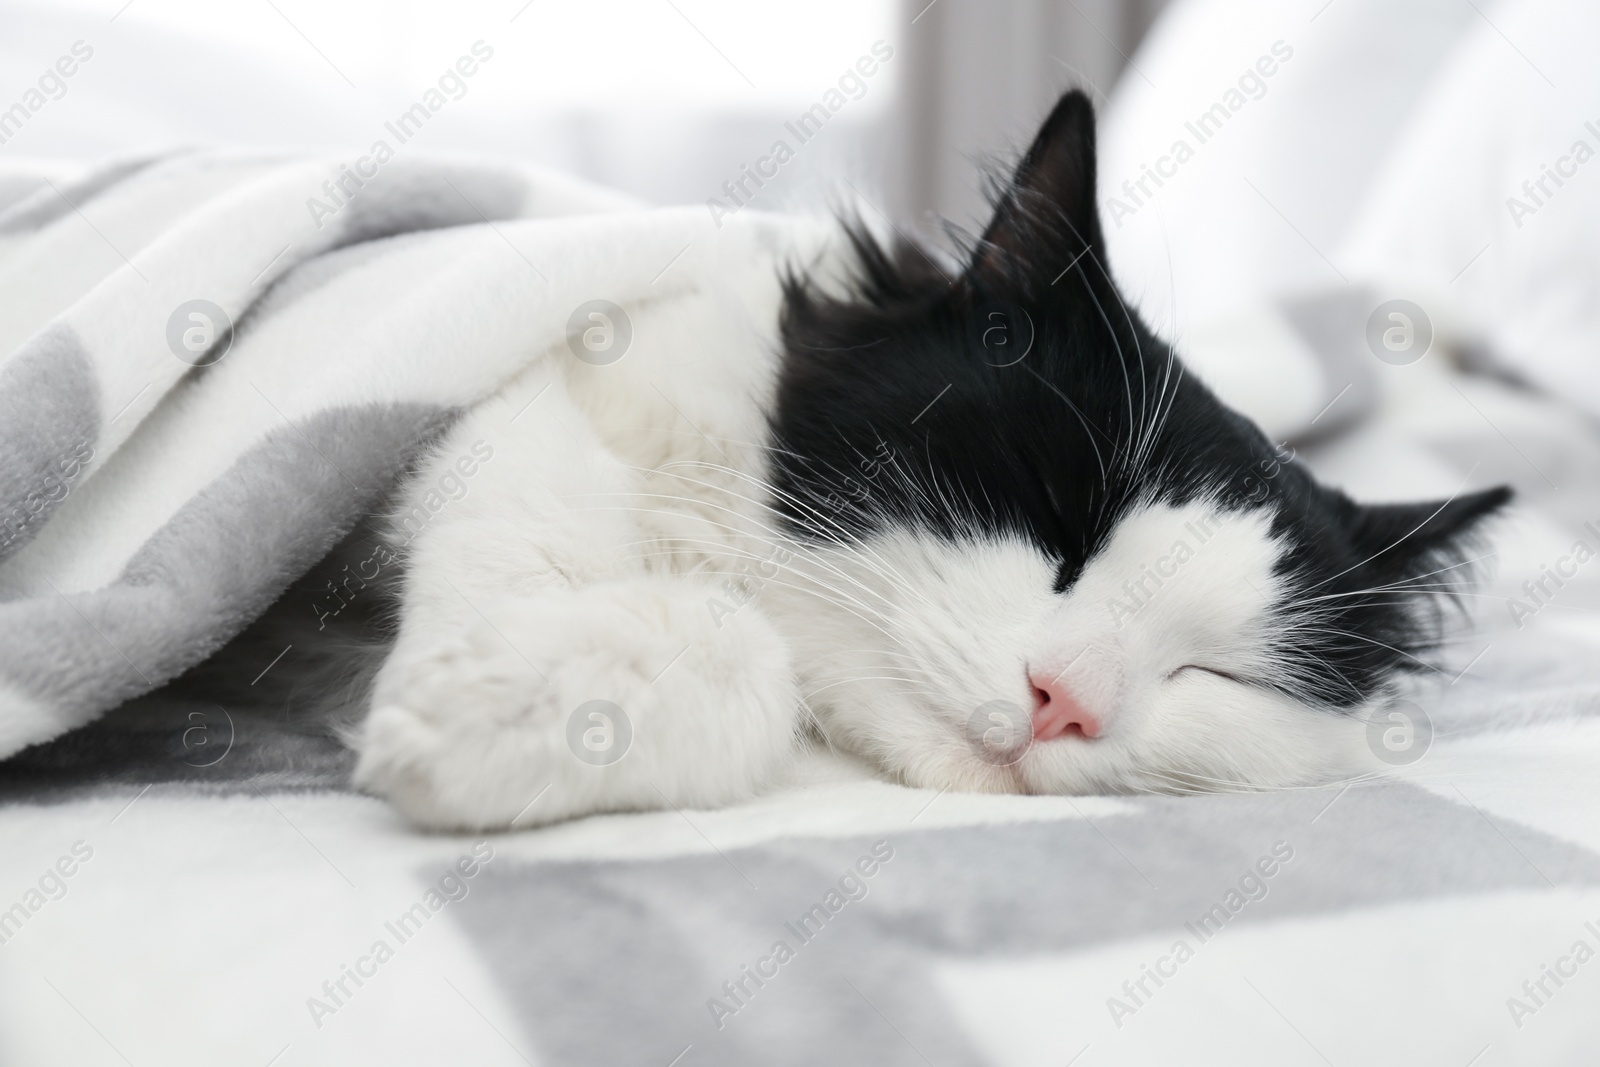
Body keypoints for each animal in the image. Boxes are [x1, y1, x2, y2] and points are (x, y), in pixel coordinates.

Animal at [344, 91, 1504, 831]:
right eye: (1053, 519)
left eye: (1213, 675)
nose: (1064, 701)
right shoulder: (528, 395)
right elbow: (552, 525)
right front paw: (480, 686)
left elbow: (745, 656)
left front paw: (495, 716)